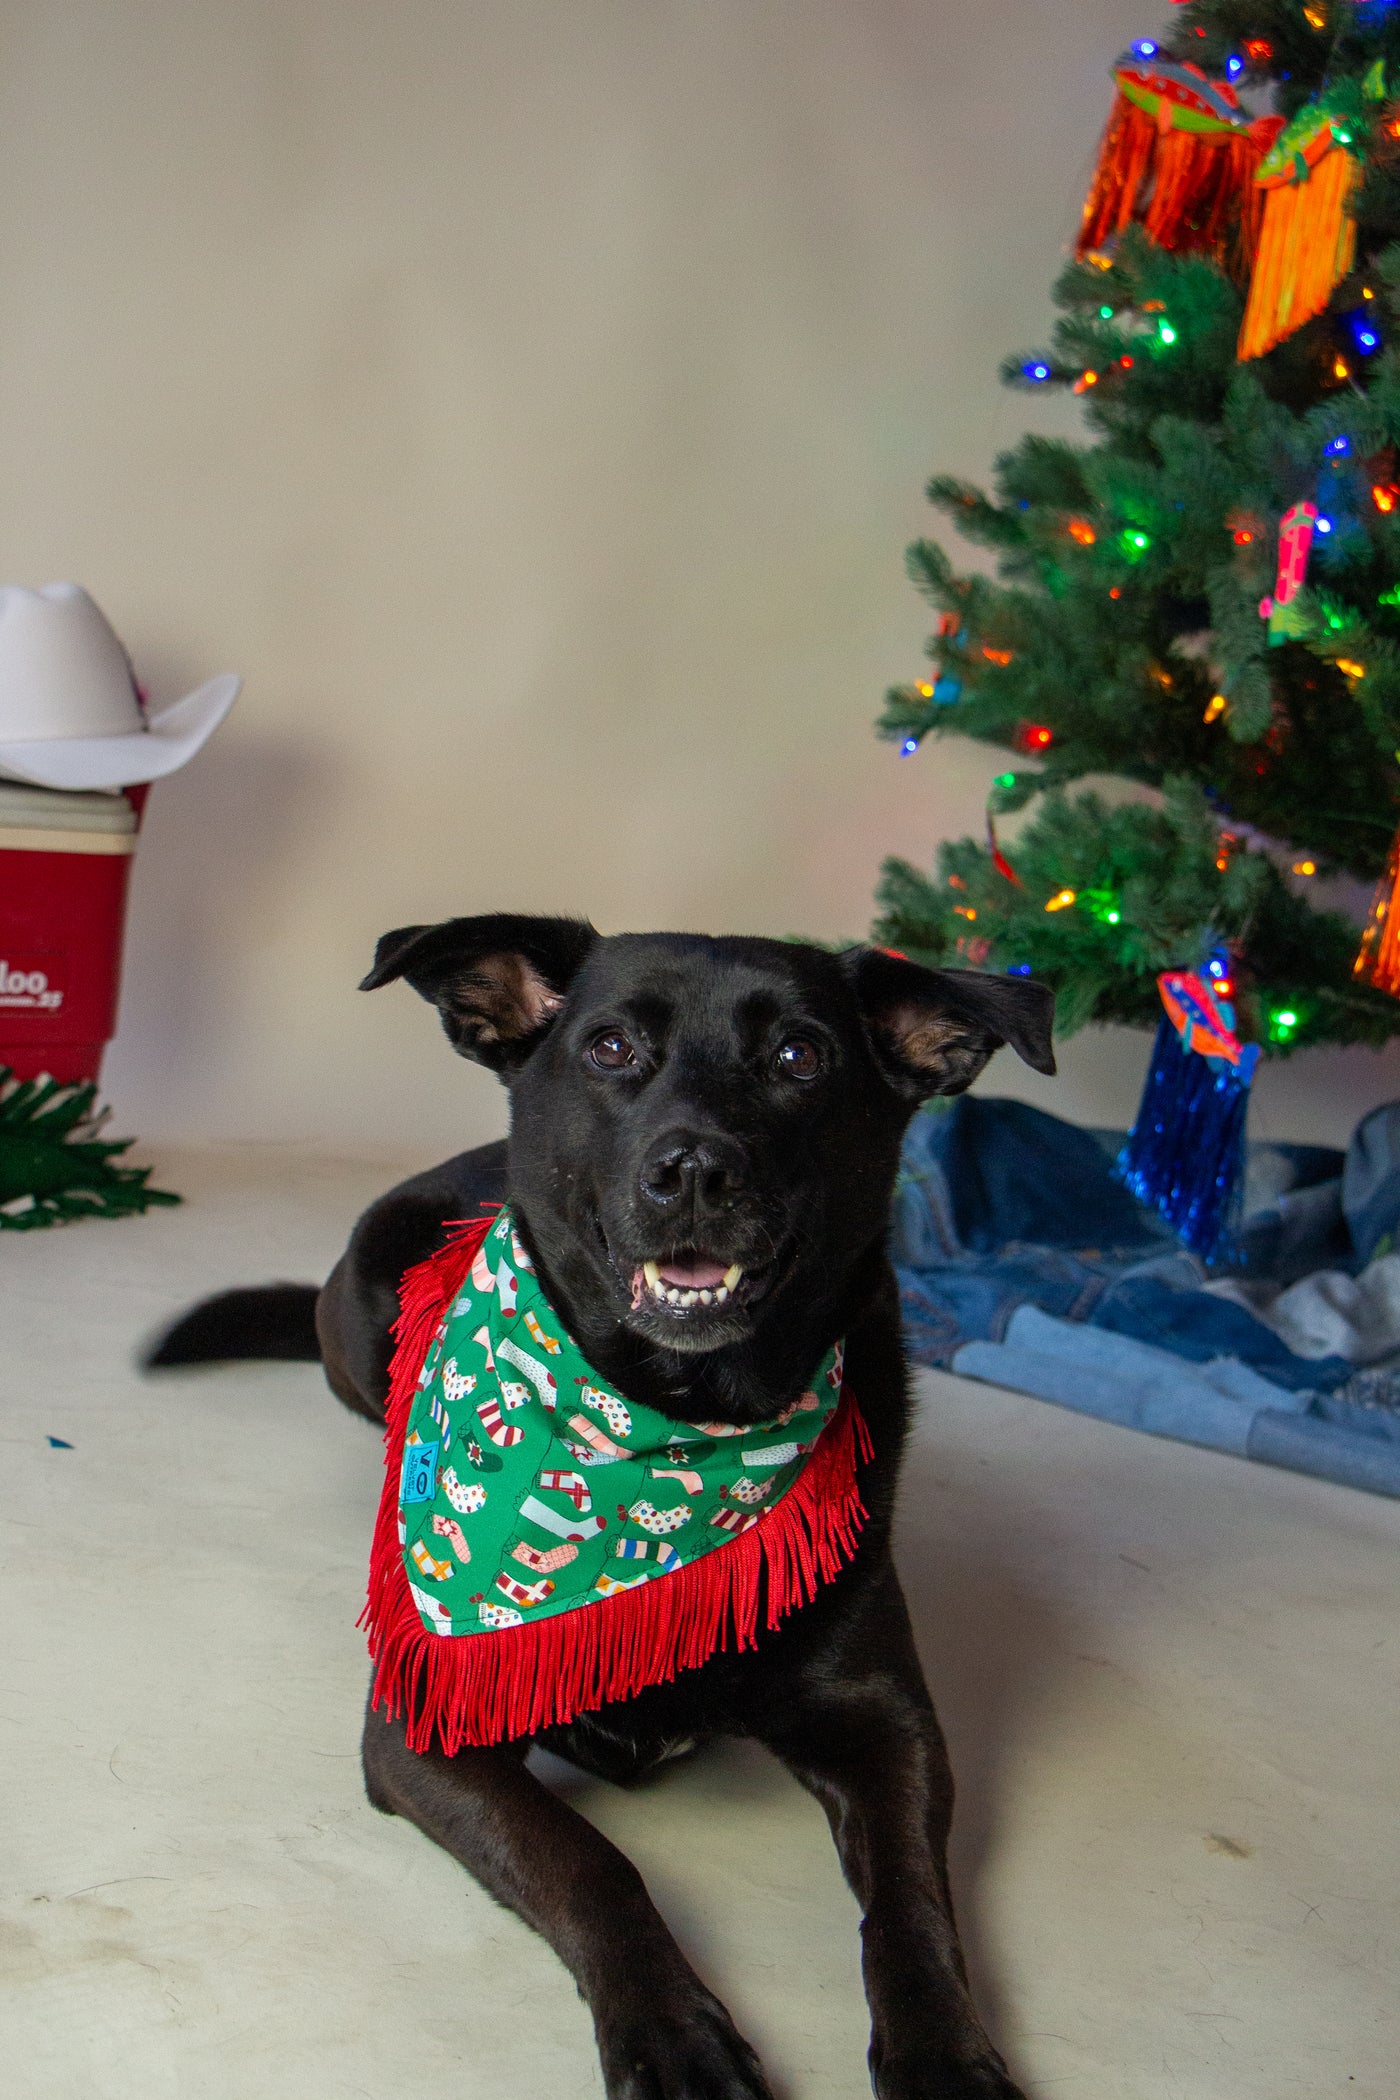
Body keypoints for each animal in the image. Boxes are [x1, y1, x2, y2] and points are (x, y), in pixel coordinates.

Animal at [153, 915, 1049, 2100]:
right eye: (613, 1048)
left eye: (800, 1057)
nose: (697, 1169)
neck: (672, 1425)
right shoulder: (426, 1724)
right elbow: (593, 1864)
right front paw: (672, 2037)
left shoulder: (887, 1726)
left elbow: (911, 1903)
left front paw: (944, 2055)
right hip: (364, 1294)